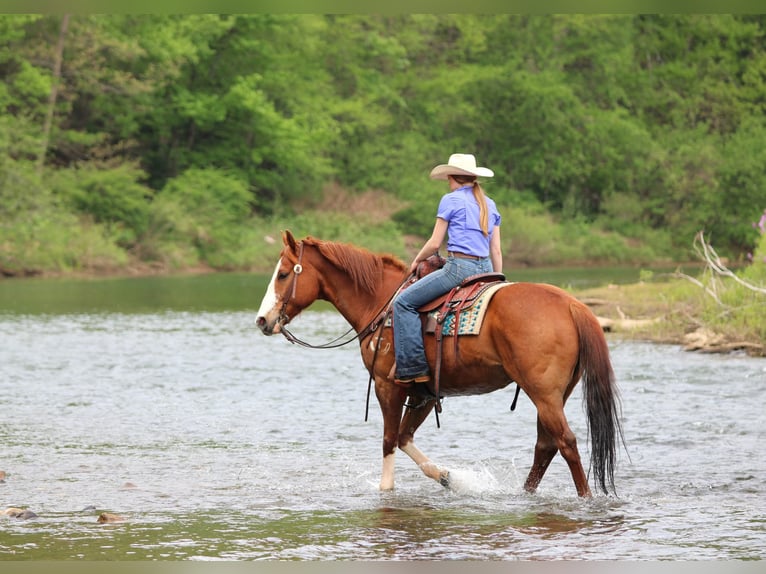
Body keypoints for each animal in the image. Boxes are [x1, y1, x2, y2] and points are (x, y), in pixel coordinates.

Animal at [255, 230, 624, 497]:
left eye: (284, 274)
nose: (262, 320)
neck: (381, 301)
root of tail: (572, 304)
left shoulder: (388, 386)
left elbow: (389, 440)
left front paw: (386, 489)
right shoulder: (425, 392)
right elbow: (404, 438)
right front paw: (448, 477)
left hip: (543, 393)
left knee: (567, 443)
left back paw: (585, 498)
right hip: (555, 394)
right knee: (546, 446)